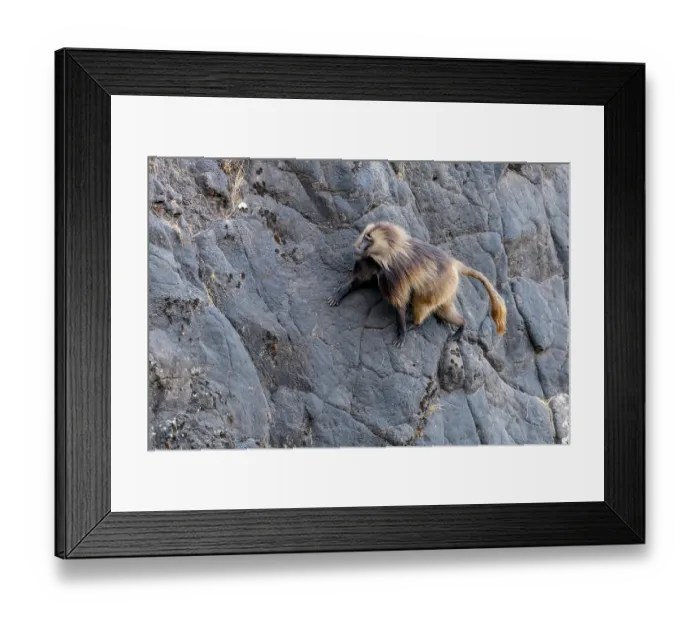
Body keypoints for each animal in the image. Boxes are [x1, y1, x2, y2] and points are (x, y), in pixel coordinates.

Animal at [327, 221, 507, 347]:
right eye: (365, 236)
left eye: (368, 240)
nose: (358, 248)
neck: (390, 251)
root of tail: (454, 264)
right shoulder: (372, 262)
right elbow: (361, 280)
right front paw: (339, 294)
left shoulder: (393, 273)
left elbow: (399, 303)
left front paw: (402, 333)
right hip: (447, 290)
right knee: (443, 309)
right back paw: (462, 324)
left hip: (441, 285)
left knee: (423, 303)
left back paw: (415, 324)